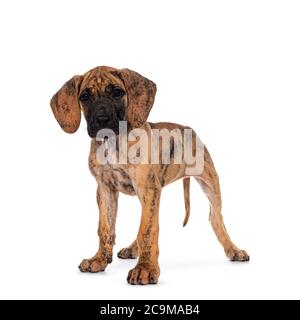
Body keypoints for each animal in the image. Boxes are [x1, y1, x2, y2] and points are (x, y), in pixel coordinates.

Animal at [51, 65, 248, 284]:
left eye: (117, 92)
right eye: (85, 96)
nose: (102, 120)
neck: (114, 143)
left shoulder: (148, 189)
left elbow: (147, 229)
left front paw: (145, 268)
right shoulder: (105, 189)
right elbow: (105, 228)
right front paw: (99, 260)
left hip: (210, 181)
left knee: (216, 218)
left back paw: (234, 250)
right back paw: (132, 249)